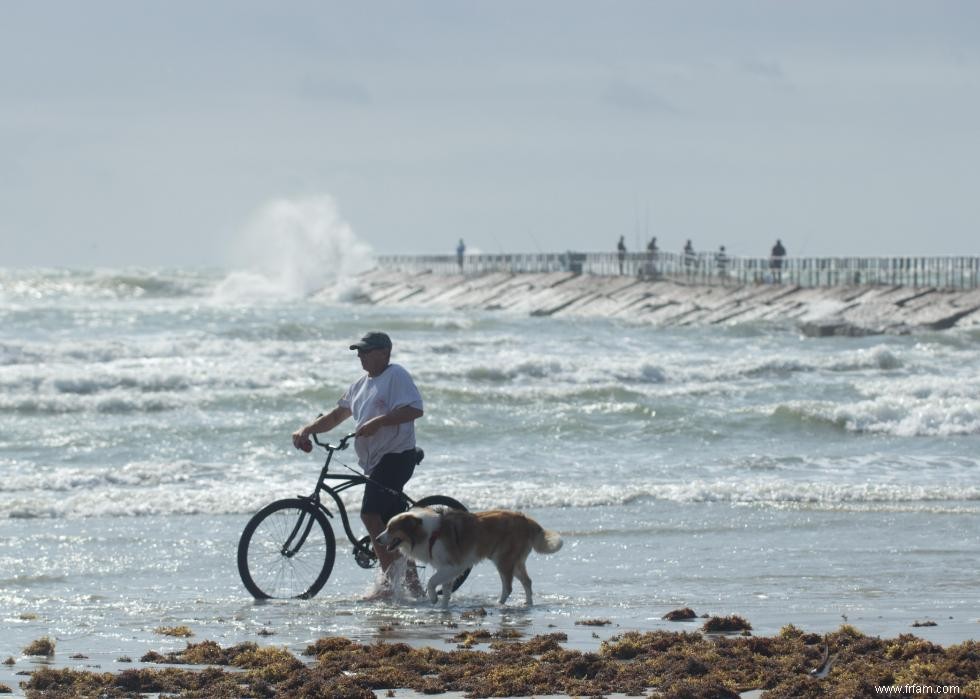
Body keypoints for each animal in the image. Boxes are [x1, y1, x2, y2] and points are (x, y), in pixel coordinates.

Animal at [378, 508, 564, 608]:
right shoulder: (445, 569)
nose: (378, 539)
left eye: (391, 529)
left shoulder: (453, 566)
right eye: (386, 527)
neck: (429, 534)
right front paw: (443, 609)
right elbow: (446, 590)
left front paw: (433, 598)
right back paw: (528, 604)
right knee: (527, 581)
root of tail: (526, 519)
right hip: (514, 562)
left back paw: (499, 604)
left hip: (503, 561)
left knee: (508, 586)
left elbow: (431, 582)